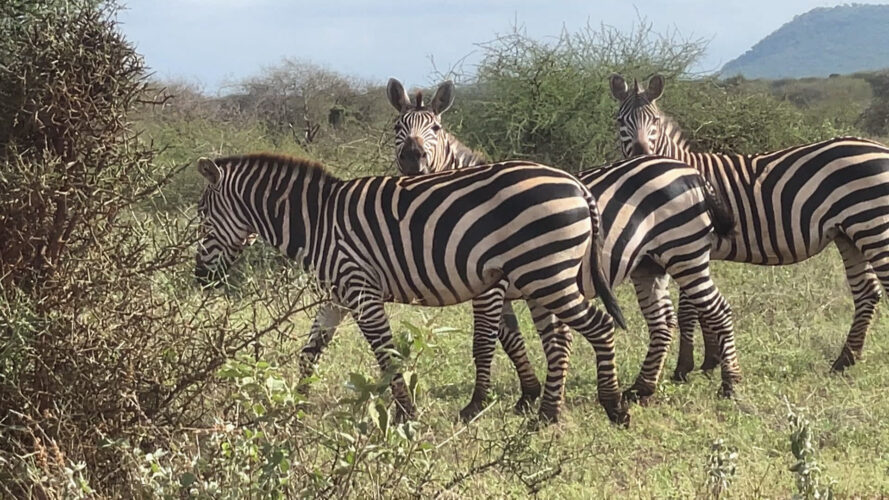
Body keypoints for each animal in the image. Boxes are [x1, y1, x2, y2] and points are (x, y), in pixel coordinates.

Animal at [194, 154, 629, 424]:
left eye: (201, 218)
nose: (201, 279)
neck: (318, 224)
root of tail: (575, 184)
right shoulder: (337, 295)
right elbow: (310, 352)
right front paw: (293, 405)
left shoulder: (361, 289)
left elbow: (386, 355)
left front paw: (406, 413)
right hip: (547, 276)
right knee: (562, 340)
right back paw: (547, 414)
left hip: (547, 274)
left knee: (600, 327)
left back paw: (613, 407)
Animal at [611, 73, 889, 379]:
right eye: (620, 120)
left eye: (655, 120)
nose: (641, 154)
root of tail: (881, 148)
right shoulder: (695, 250)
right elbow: (701, 310)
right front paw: (710, 362)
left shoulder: (687, 245)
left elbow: (689, 312)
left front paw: (685, 368)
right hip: (849, 234)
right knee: (866, 292)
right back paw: (844, 361)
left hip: (873, 226)